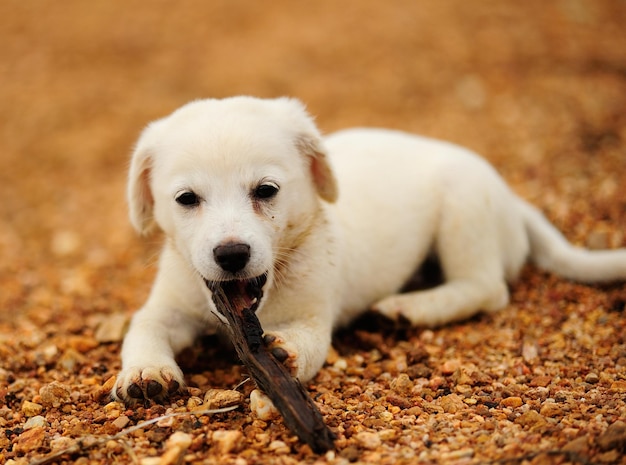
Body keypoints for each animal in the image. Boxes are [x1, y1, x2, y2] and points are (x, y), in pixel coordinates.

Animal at [113, 97, 624, 402]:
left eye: (266, 190)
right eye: (186, 199)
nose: (232, 254)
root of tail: (514, 203)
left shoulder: (315, 319)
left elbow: (306, 344)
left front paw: (285, 354)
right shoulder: (168, 308)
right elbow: (143, 329)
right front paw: (145, 372)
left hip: (465, 209)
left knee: (486, 288)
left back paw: (408, 308)